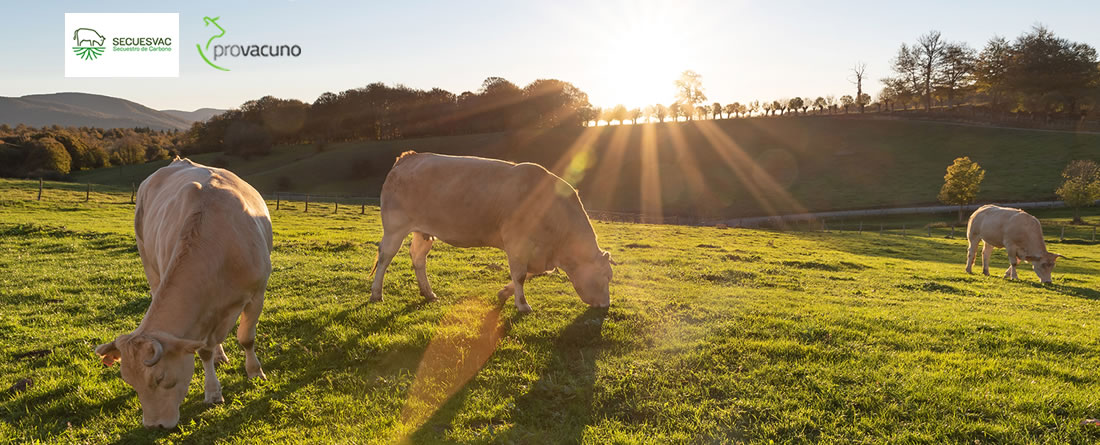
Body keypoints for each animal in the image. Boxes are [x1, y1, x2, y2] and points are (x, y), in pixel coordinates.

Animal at [96, 158, 272, 428]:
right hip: (149, 262)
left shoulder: (256, 294)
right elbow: (204, 350)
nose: (154, 425)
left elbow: (246, 338)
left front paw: (255, 371)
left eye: (160, 378)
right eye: (129, 381)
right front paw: (213, 391)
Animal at [367, 150, 611, 309]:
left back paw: (428, 293)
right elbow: (520, 275)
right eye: (605, 276)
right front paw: (523, 305)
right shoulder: (516, 242)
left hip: (423, 231)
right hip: (394, 228)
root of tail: (409, 157)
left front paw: (504, 293)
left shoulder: (537, 252)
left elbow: (529, 274)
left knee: (418, 257)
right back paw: (377, 293)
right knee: (385, 257)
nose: (605, 306)